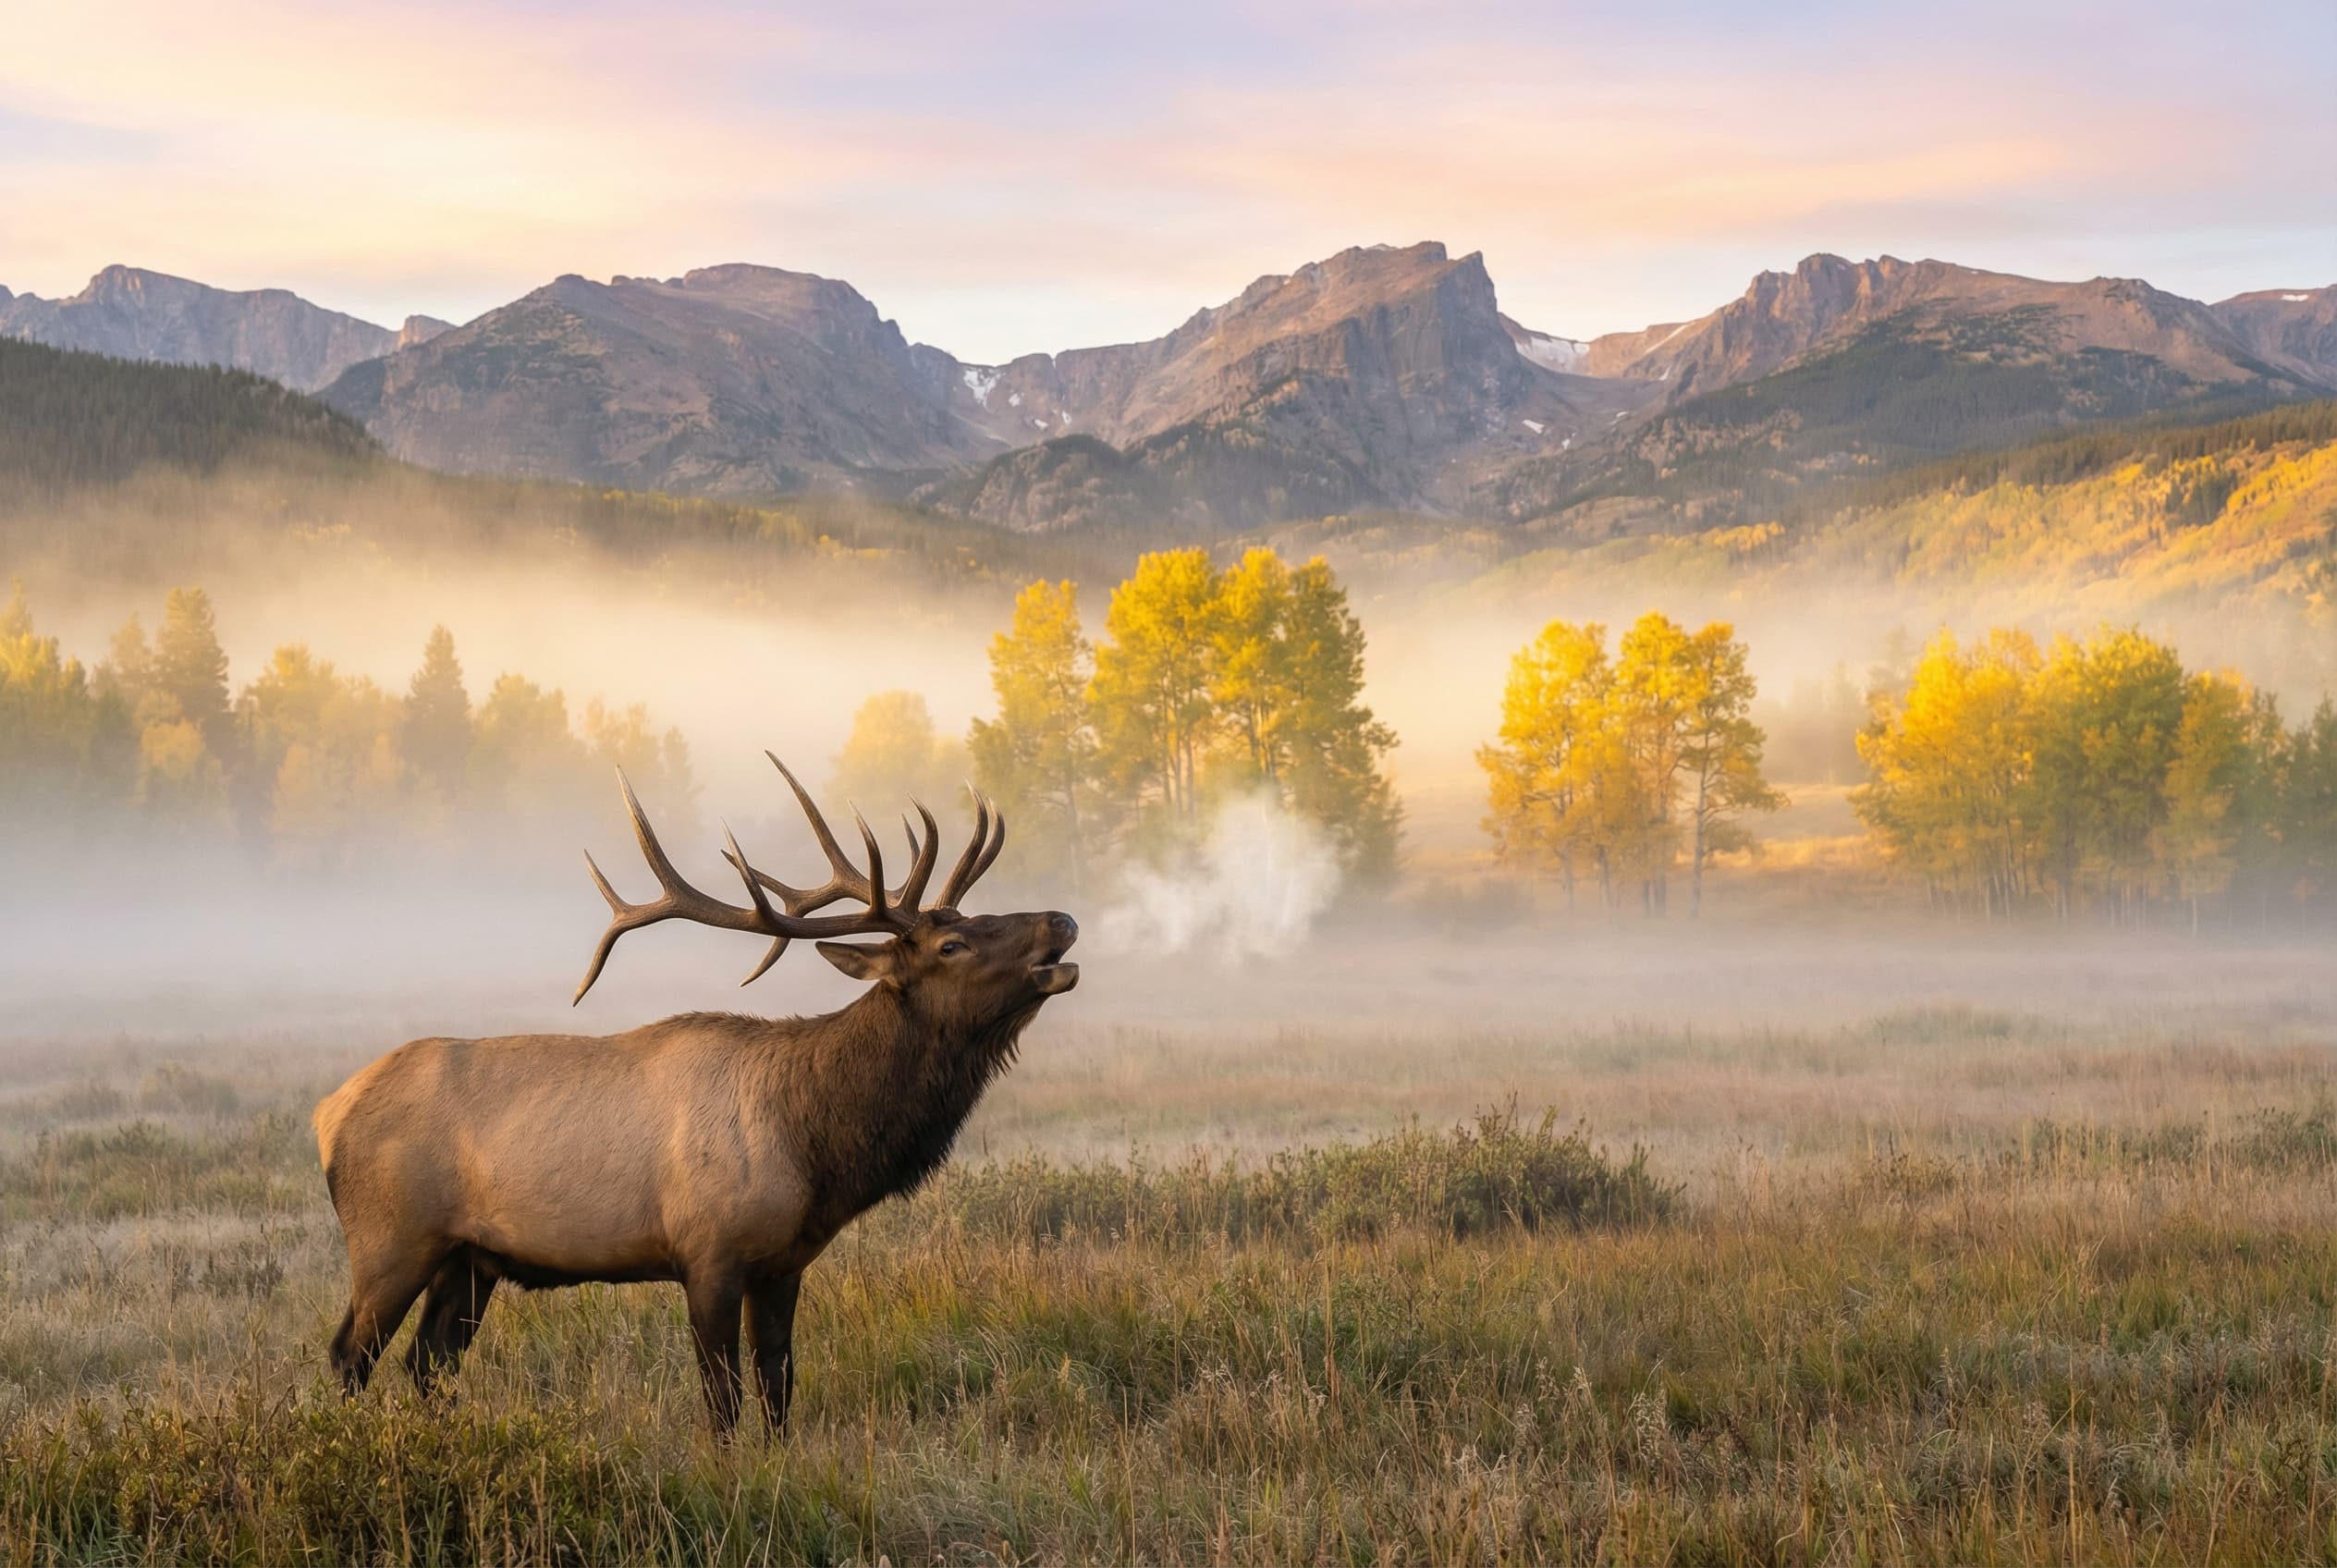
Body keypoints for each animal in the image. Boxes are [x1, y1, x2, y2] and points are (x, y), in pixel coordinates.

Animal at [311, 754, 1078, 1437]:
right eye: (951, 945)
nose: (1062, 921)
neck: (817, 1148)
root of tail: (327, 1113)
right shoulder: (708, 1252)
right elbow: (724, 1397)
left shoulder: (783, 1263)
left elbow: (778, 1387)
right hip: (391, 1237)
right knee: (351, 1354)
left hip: (469, 1257)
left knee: (428, 1363)